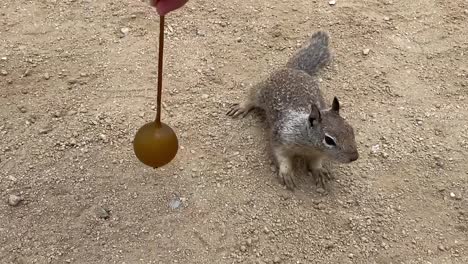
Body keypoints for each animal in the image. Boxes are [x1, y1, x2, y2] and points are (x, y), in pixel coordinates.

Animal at [227, 31, 358, 190]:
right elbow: (281, 157)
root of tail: (295, 69)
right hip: (262, 91)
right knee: (252, 94)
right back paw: (242, 106)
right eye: (329, 140)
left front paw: (319, 171)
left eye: (351, 130)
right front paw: (287, 173)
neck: (308, 145)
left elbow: (315, 162)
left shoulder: (318, 153)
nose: (354, 157)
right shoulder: (280, 138)